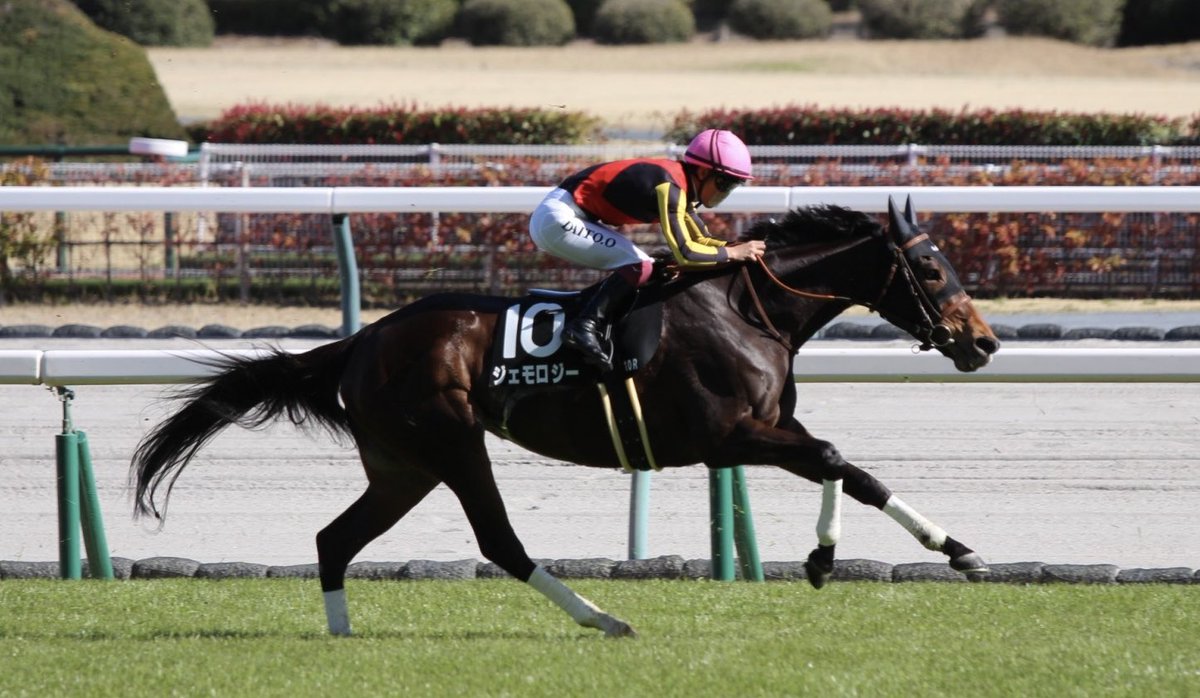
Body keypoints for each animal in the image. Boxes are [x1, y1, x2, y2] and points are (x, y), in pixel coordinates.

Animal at [131, 196, 1000, 638]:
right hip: (450, 442)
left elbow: (847, 468)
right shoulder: (727, 434)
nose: (984, 342)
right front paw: (860, 555)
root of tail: (362, 340)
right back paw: (601, 617)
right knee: (498, 543)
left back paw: (342, 635)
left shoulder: (753, 435)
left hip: (402, 466)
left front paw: (938, 551)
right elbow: (835, 458)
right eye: (929, 269)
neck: (748, 309)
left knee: (334, 539)